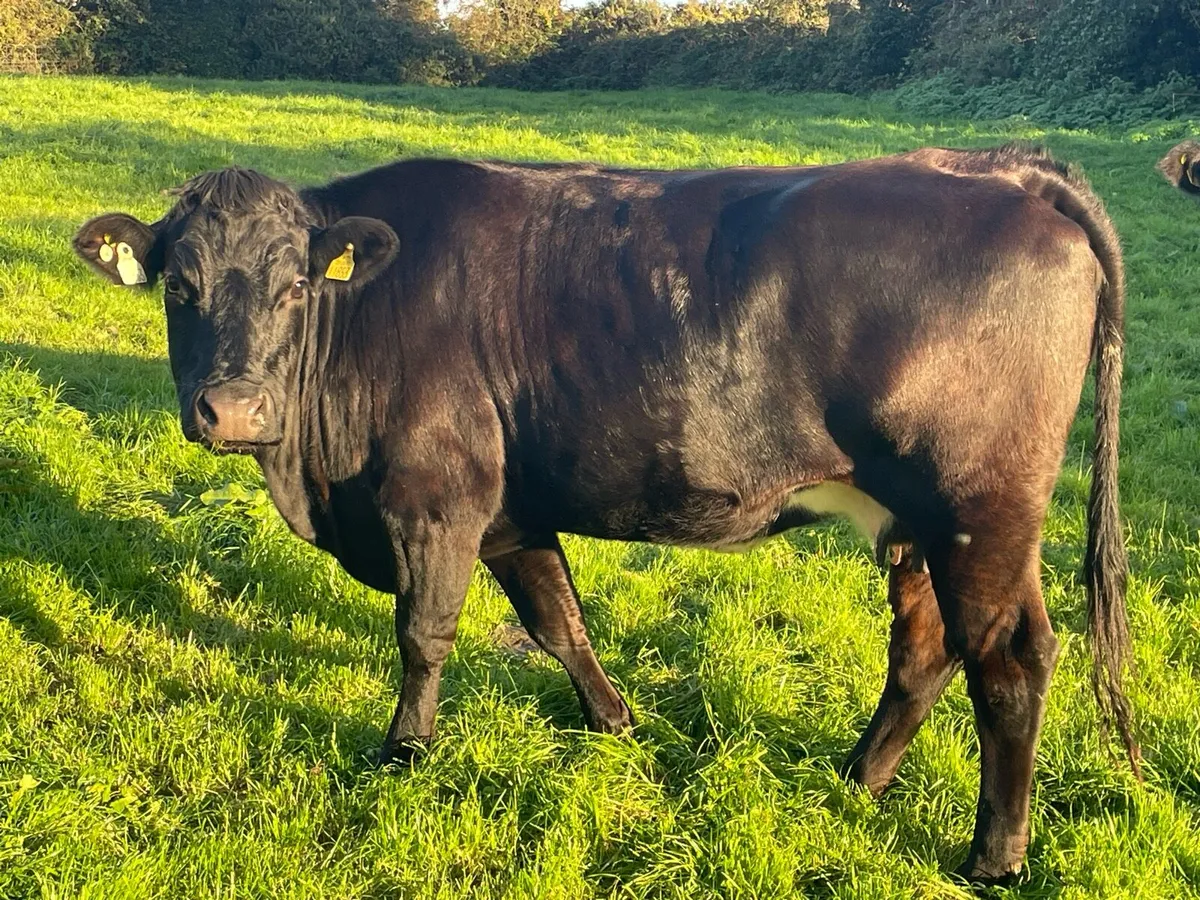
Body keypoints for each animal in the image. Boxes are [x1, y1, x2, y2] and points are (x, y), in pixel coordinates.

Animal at [73, 144, 1138, 883]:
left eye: (295, 283)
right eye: (179, 285)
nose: (232, 410)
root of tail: (1005, 169)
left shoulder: (436, 496)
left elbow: (424, 632)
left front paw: (404, 752)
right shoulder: (509, 509)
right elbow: (558, 620)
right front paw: (616, 725)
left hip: (980, 510)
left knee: (1009, 661)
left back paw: (994, 856)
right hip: (912, 520)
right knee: (924, 647)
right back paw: (857, 781)